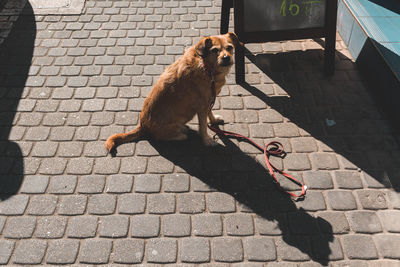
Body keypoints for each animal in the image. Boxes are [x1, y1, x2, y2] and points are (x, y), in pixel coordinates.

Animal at [104, 33, 239, 153]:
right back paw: (181, 135)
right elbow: (203, 127)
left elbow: (209, 113)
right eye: (215, 50)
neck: (207, 67)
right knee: (162, 137)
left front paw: (214, 120)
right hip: (173, 126)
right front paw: (207, 140)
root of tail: (142, 126)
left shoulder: (209, 99)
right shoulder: (202, 106)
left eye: (229, 47)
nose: (226, 58)